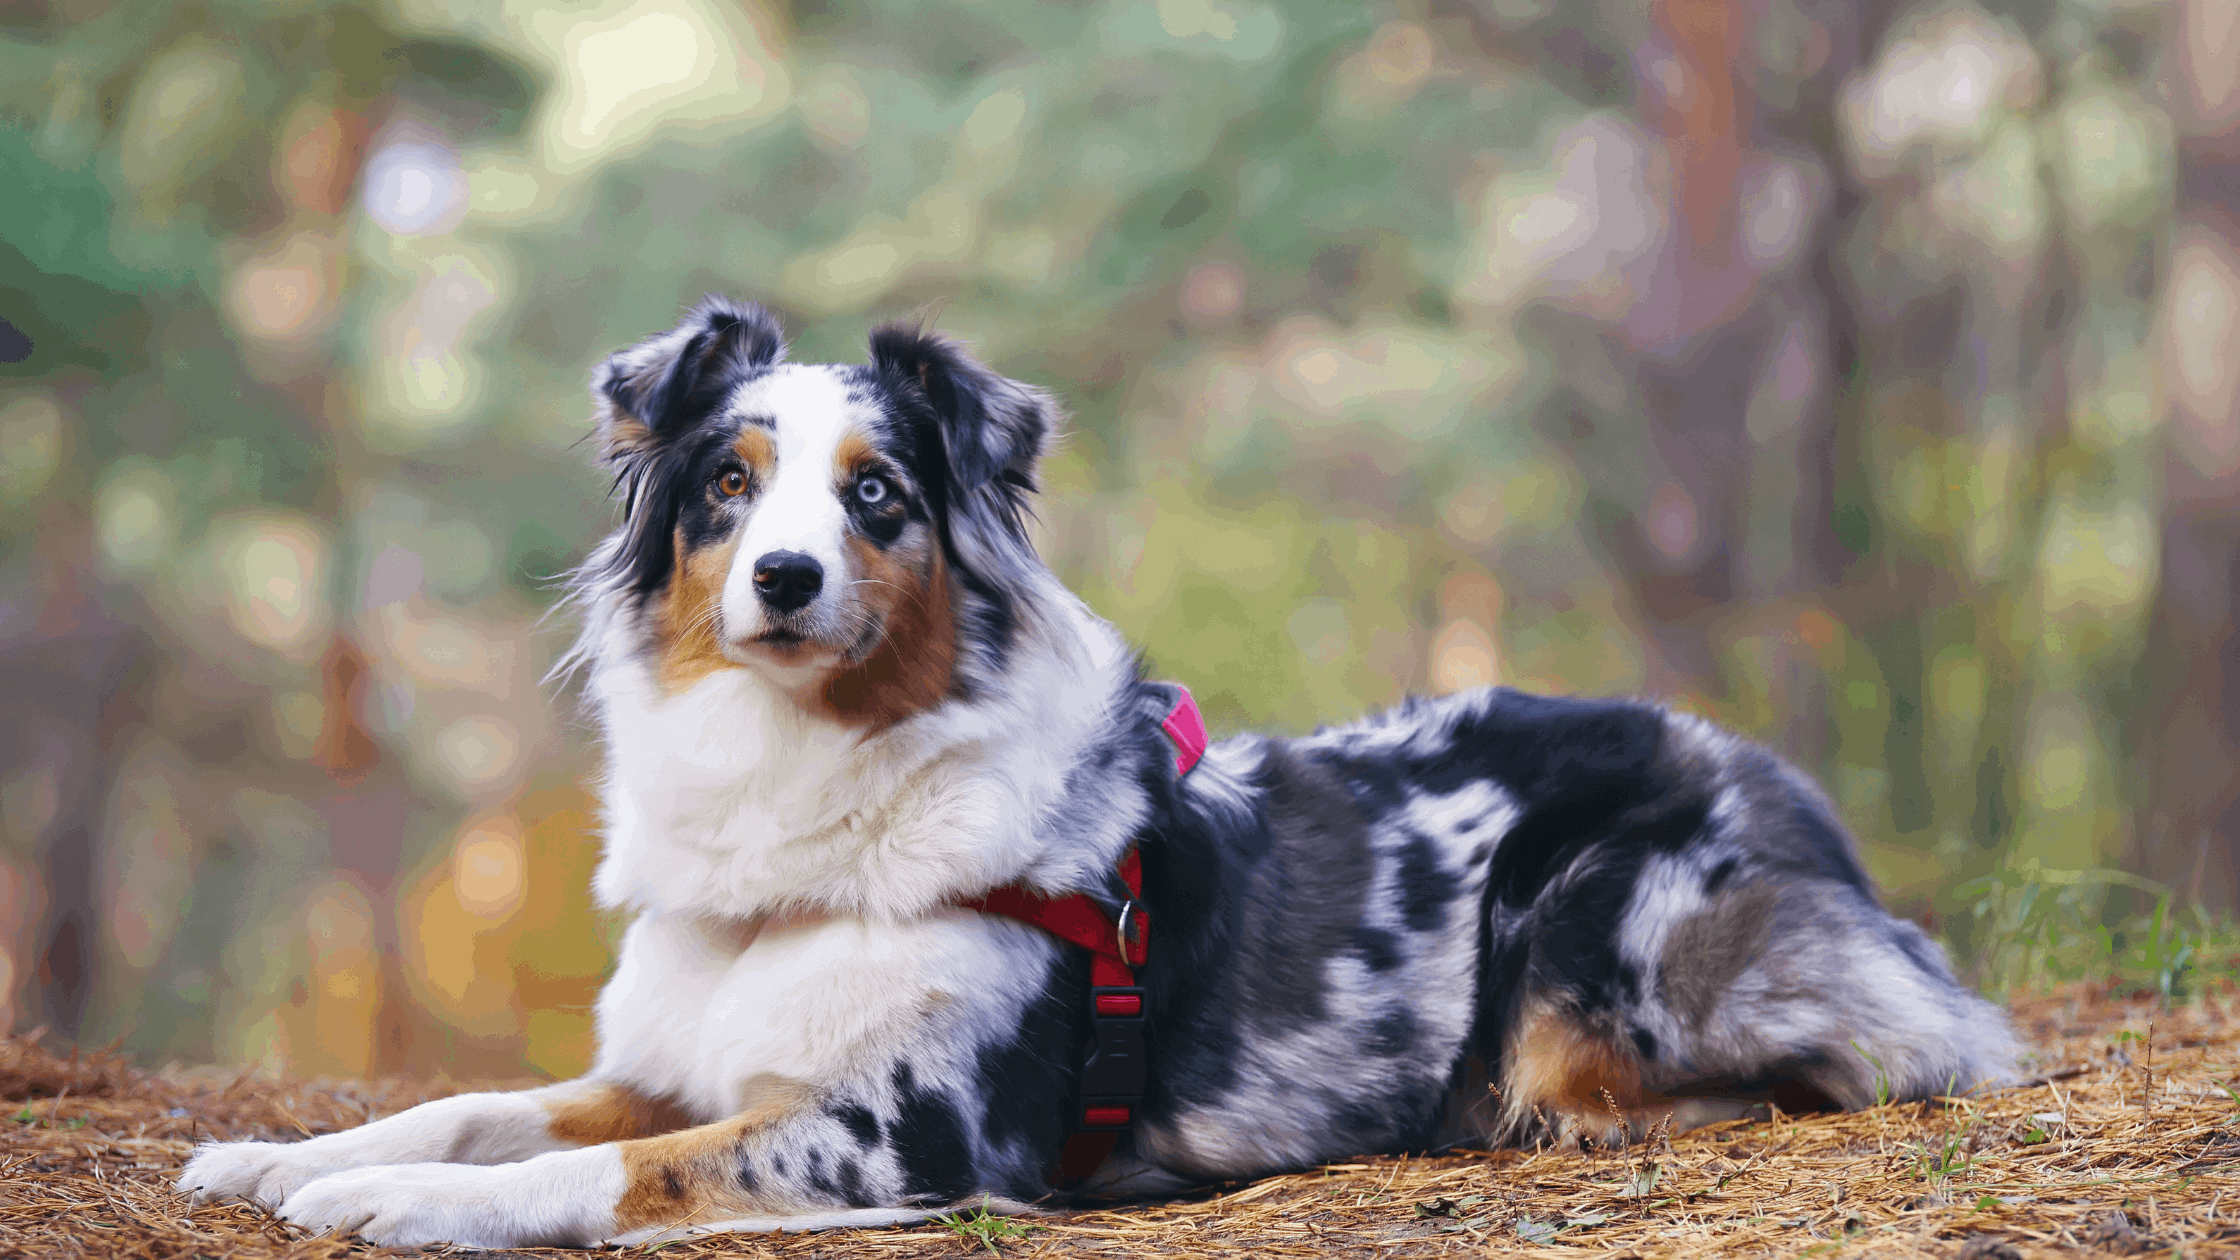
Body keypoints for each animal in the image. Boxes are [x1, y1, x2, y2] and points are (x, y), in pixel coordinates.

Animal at [174, 295, 2016, 1246]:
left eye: (878, 497)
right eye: (726, 487)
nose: (786, 579)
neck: (809, 791)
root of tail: (1789, 792)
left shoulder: (903, 1136)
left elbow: (601, 1171)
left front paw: (404, 1205)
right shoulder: (683, 1061)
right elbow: (481, 1103)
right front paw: (285, 1158)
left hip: (1592, 917)